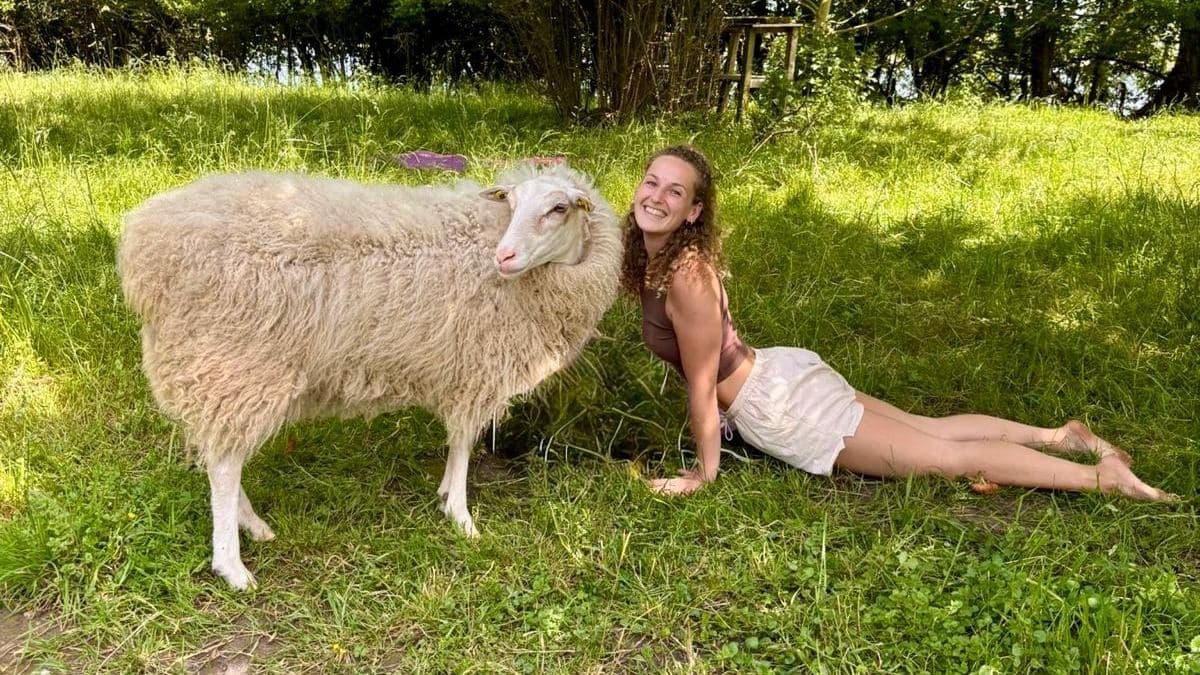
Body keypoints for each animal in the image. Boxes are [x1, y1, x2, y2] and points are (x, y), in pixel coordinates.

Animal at [117, 164, 621, 589]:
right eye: (512, 203)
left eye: (558, 209)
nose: (505, 256)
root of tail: (144, 245)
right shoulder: (476, 369)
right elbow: (463, 443)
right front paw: (461, 516)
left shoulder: (462, 368)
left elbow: (457, 443)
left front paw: (446, 497)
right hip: (235, 366)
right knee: (224, 466)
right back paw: (232, 565)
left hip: (222, 375)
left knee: (222, 453)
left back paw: (251, 525)